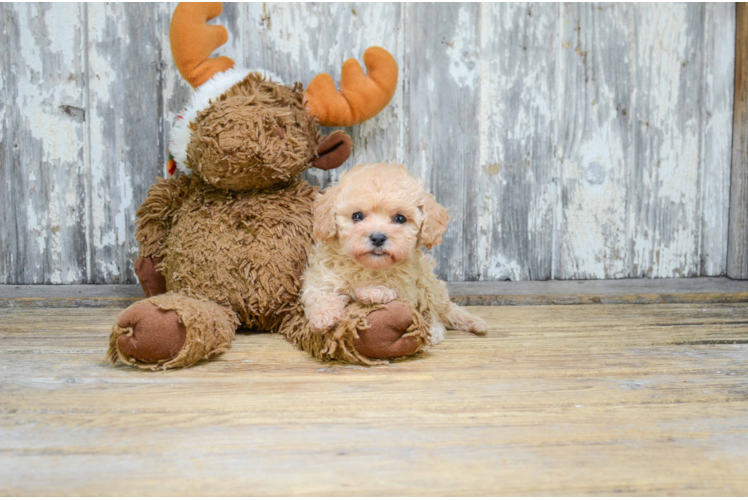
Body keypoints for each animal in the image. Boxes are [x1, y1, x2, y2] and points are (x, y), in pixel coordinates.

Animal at [300, 162, 488, 346]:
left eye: (400, 218)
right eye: (357, 216)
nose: (377, 237)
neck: (368, 266)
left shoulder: (407, 286)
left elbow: (391, 290)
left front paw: (373, 291)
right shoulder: (322, 277)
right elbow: (319, 294)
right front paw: (323, 317)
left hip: (428, 284)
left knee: (435, 313)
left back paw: (436, 331)